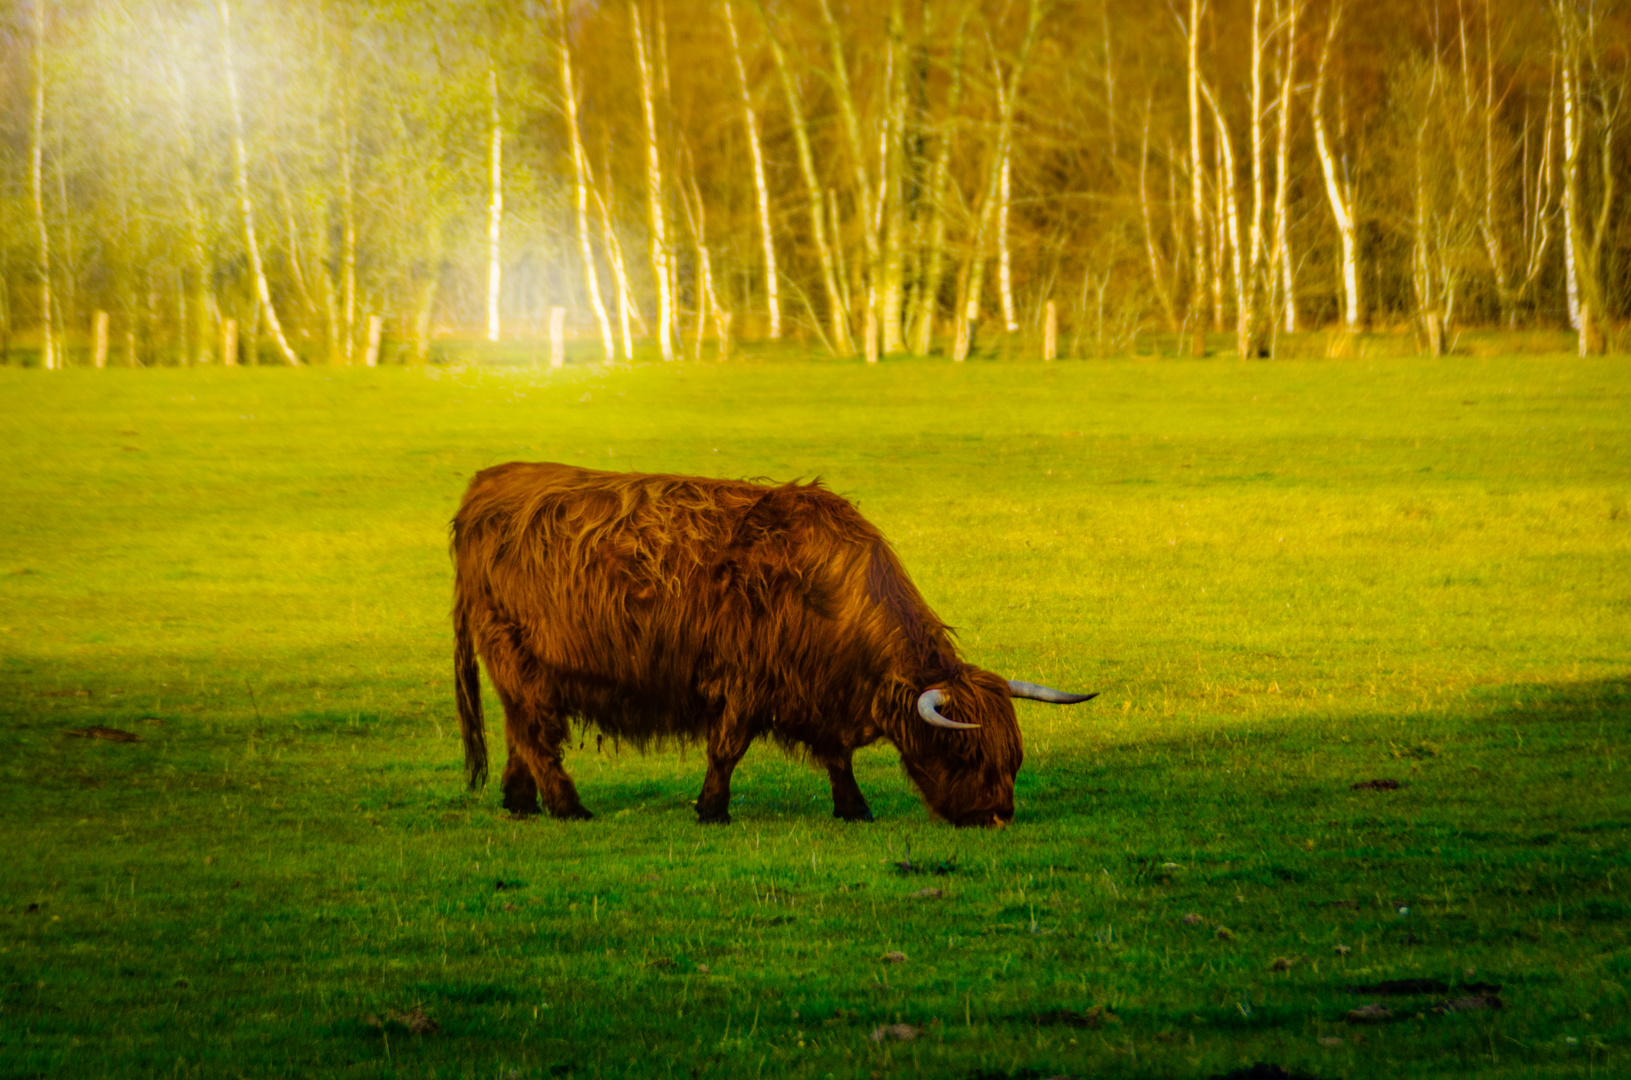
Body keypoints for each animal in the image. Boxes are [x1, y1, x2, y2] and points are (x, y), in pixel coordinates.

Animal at [450, 463, 1096, 828]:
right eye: (964, 754)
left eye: (1013, 758)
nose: (997, 815)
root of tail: (487, 483)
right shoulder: (745, 680)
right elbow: (726, 751)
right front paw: (712, 811)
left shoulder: (822, 693)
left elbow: (837, 757)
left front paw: (854, 809)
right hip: (518, 657)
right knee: (537, 736)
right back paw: (569, 808)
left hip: (522, 672)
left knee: (521, 732)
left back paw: (520, 801)